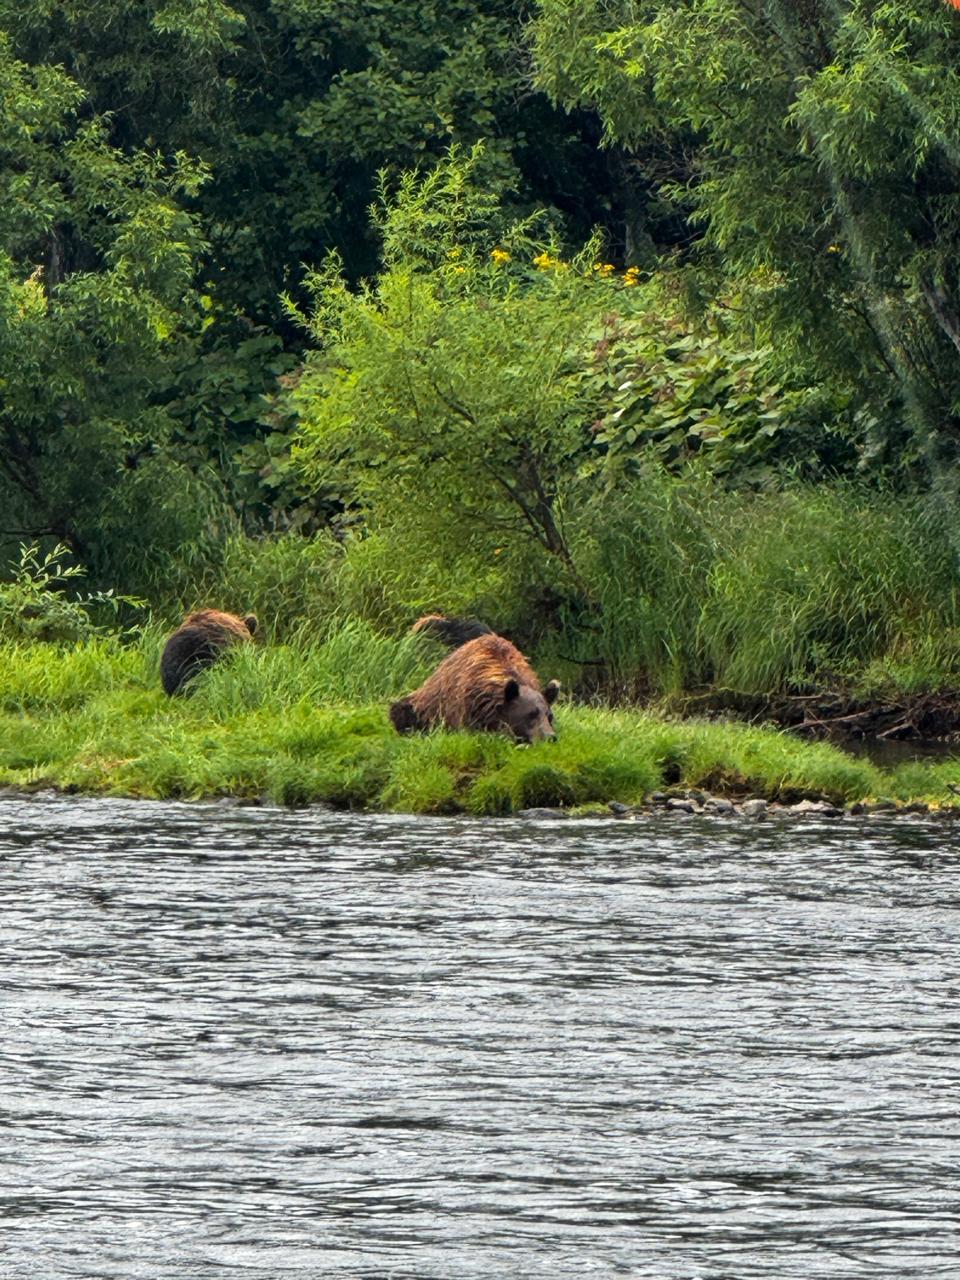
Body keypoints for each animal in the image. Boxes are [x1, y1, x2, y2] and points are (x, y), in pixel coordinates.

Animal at [391, 614, 560, 747]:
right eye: (531, 714)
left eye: (550, 716)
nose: (550, 737)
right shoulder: (466, 707)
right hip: (428, 706)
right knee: (402, 711)